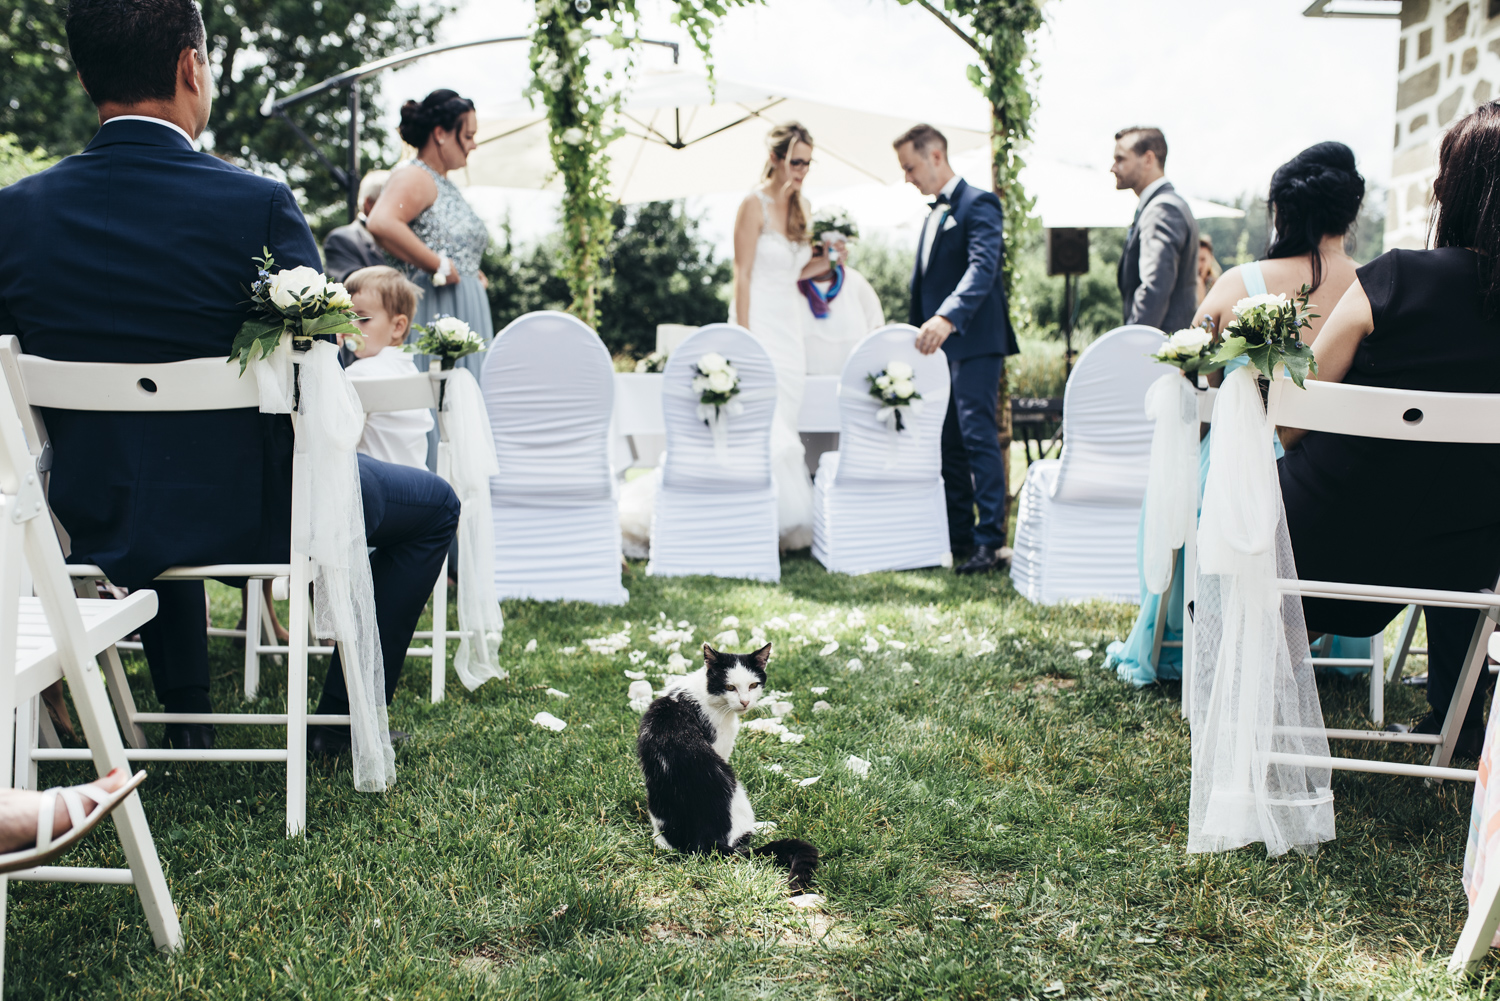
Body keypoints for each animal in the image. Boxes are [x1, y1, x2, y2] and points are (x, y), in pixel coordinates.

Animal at [636, 642, 822, 894]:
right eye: (729, 687)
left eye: (753, 685)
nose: (745, 702)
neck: (704, 693)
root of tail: (706, 843)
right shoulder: (721, 748)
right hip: (735, 787)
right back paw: (763, 826)